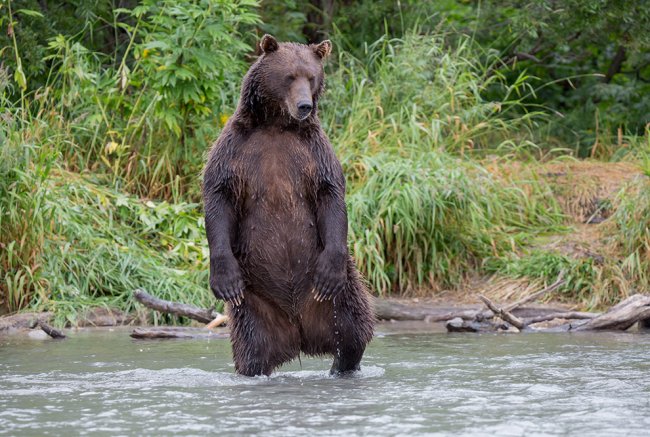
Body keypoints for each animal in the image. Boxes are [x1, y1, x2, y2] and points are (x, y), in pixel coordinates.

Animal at [202, 35, 374, 374]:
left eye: (312, 76)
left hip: (337, 297)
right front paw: (223, 279)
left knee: (353, 331)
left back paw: (341, 365)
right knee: (252, 350)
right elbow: (218, 195)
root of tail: (299, 335)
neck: (277, 125)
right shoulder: (235, 149)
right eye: (290, 76)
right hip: (255, 302)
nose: (304, 105)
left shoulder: (314, 152)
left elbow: (330, 193)